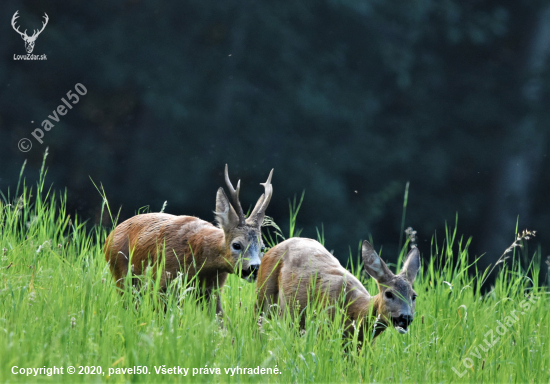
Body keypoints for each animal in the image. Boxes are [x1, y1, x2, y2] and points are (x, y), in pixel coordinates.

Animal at [105, 165, 274, 316]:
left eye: (263, 247)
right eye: (237, 245)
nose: (255, 268)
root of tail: (110, 236)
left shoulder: (211, 290)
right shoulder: (163, 281)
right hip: (121, 275)